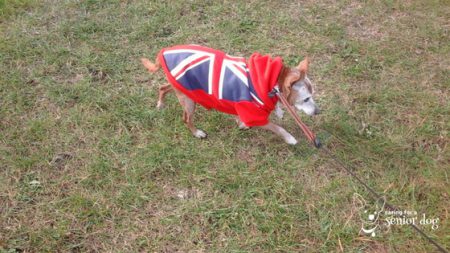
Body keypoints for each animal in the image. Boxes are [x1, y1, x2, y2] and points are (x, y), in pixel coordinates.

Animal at [142, 44, 320, 145]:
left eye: (313, 94)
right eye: (306, 99)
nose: (318, 112)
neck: (273, 82)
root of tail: (163, 52)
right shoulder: (255, 116)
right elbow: (277, 128)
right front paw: (290, 138)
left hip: (182, 88)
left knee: (163, 87)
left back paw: (160, 103)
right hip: (189, 101)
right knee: (186, 119)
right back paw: (197, 133)